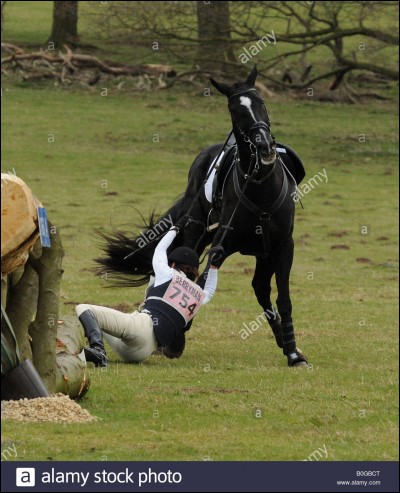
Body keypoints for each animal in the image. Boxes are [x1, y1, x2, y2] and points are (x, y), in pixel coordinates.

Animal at [95, 65, 308, 366]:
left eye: (261, 103)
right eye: (235, 110)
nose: (265, 147)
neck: (260, 189)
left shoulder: (282, 247)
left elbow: (284, 298)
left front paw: (292, 352)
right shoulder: (221, 245)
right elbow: (199, 281)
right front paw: (176, 338)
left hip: (262, 252)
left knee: (260, 288)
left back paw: (281, 338)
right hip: (198, 234)